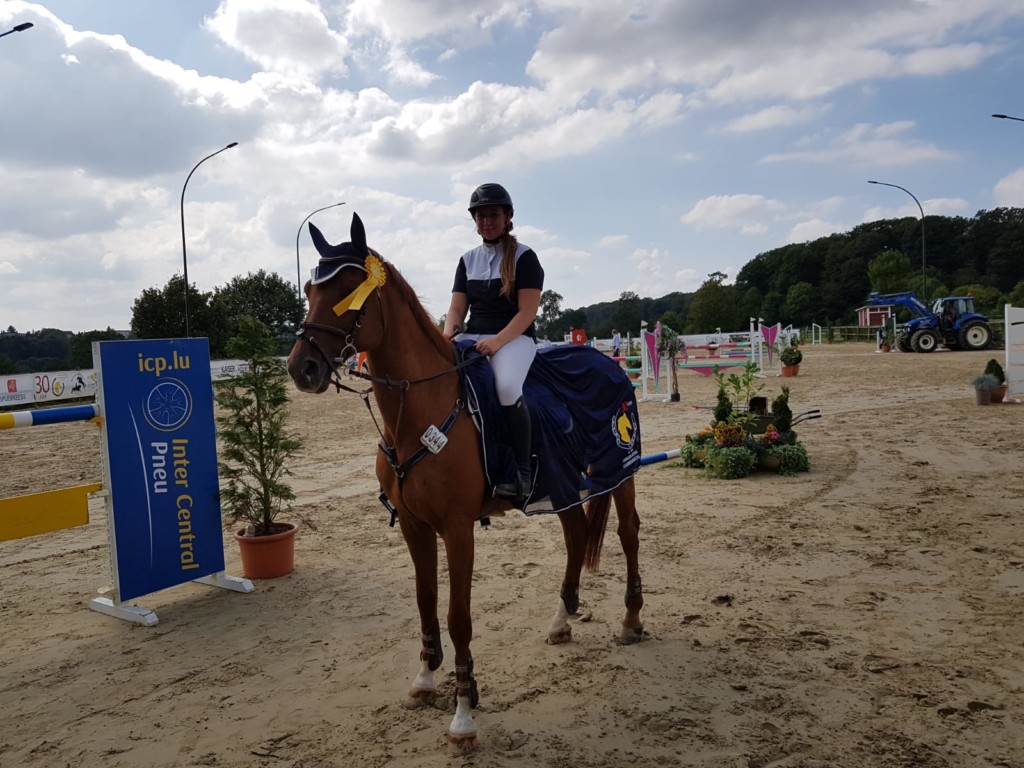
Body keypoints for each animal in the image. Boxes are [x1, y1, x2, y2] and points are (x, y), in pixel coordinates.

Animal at [287, 213, 644, 751]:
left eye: (350, 290)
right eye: (310, 289)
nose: (301, 368)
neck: (418, 410)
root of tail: (609, 363)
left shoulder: (457, 529)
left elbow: (458, 616)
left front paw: (463, 712)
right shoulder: (414, 526)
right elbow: (426, 602)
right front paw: (425, 679)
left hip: (619, 472)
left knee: (628, 534)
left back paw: (631, 620)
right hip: (560, 482)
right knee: (577, 535)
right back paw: (562, 620)